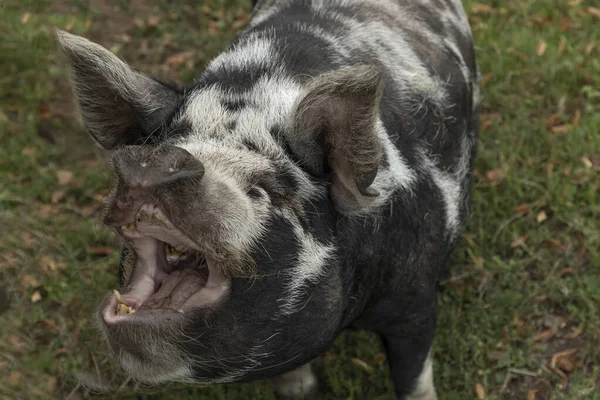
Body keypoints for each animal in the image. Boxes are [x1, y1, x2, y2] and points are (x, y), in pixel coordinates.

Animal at [55, 1, 478, 398]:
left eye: (268, 188)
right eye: (166, 143)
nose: (161, 158)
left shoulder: (415, 298)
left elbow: (414, 377)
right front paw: (300, 391)